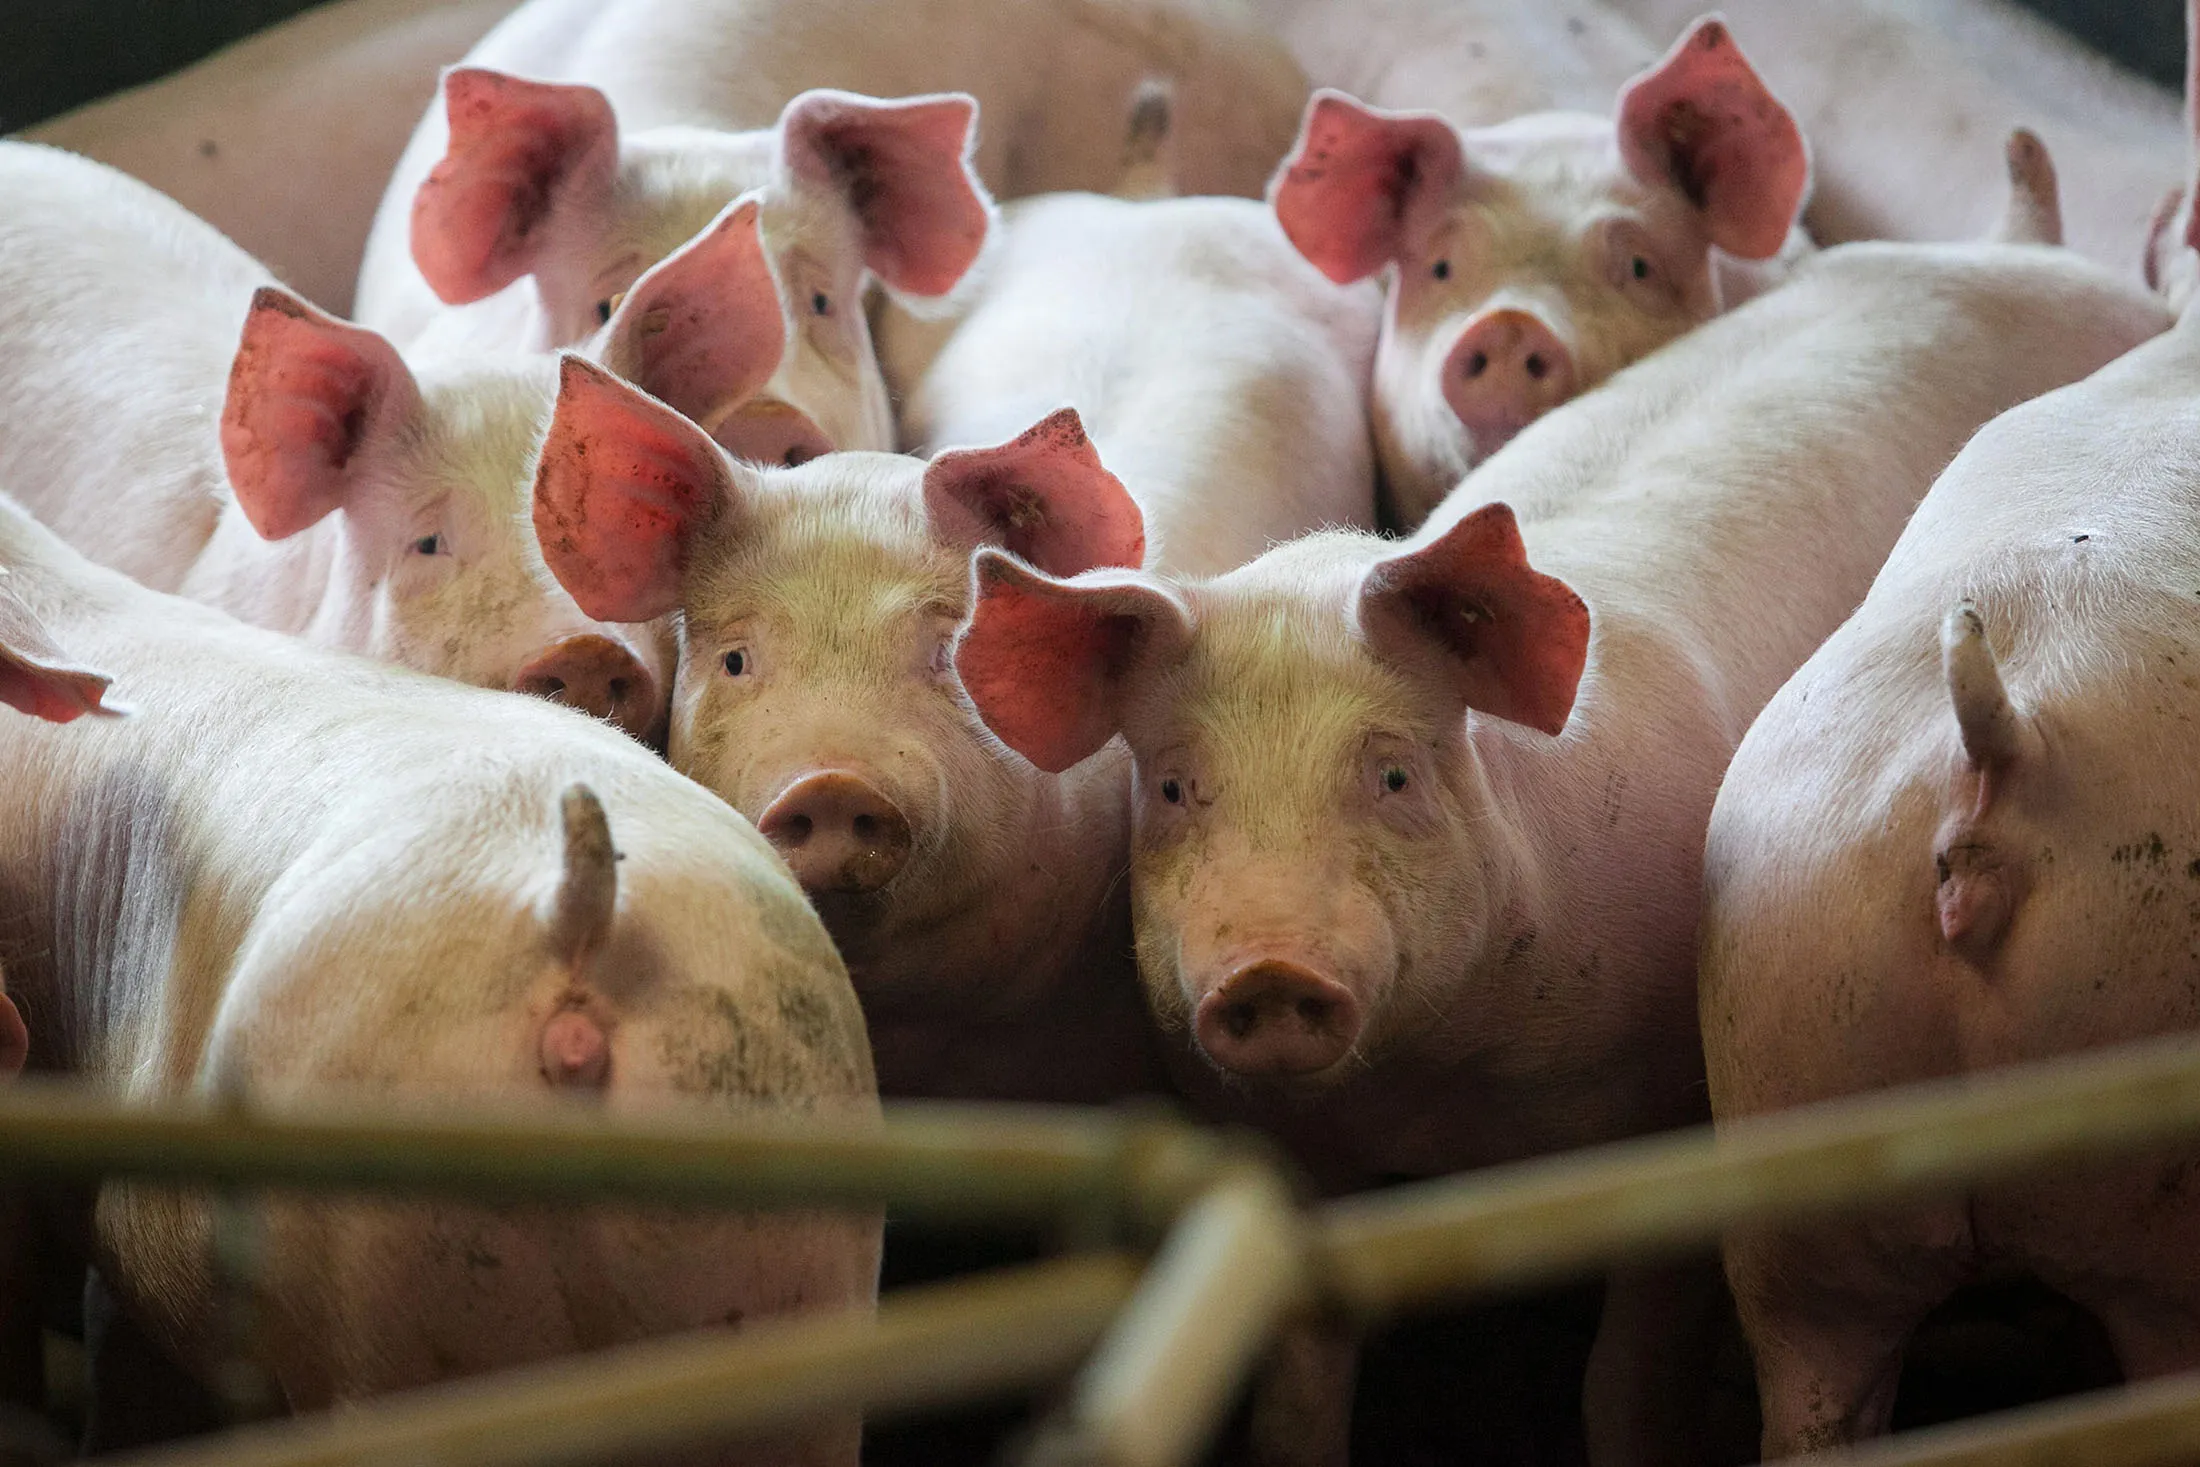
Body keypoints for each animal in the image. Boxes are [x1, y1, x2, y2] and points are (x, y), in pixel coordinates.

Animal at [952, 154, 2168, 1460]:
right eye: (1175, 785)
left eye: (1394, 774)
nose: (1269, 969)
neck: (1440, 1095)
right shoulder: (1286, 1157)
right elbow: (1300, 1390)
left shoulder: (1666, 1119)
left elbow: (1625, 1375)